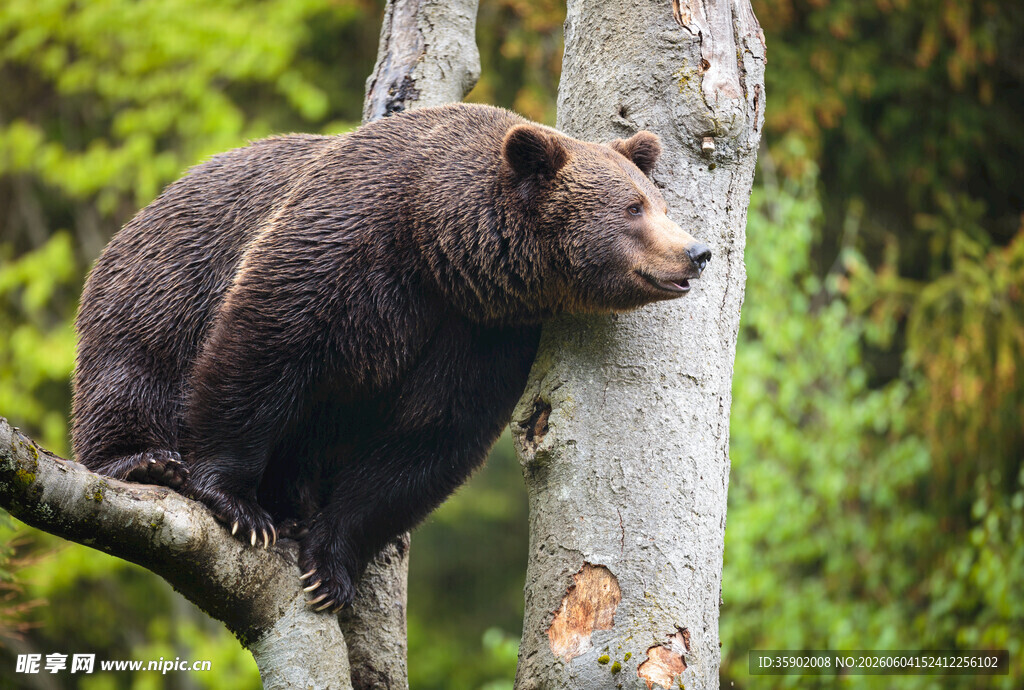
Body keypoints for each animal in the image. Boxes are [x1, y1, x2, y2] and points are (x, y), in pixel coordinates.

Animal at [72, 103, 711, 612]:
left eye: (658, 201)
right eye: (633, 208)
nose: (697, 251)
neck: (438, 243)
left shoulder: (482, 332)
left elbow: (427, 439)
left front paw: (329, 566)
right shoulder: (345, 246)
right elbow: (262, 351)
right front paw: (238, 505)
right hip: (164, 278)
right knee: (134, 366)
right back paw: (146, 462)